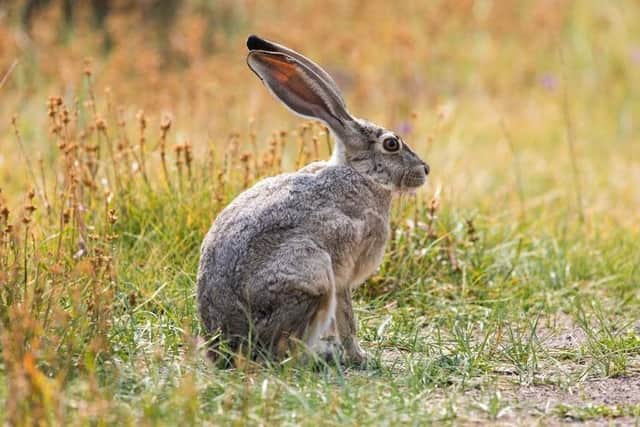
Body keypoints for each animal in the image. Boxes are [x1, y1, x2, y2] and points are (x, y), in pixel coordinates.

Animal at [197, 35, 429, 366]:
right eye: (391, 144)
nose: (425, 170)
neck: (361, 175)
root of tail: (227, 347)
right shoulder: (343, 272)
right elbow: (347, 319)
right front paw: (360, 357)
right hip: (312, 276)